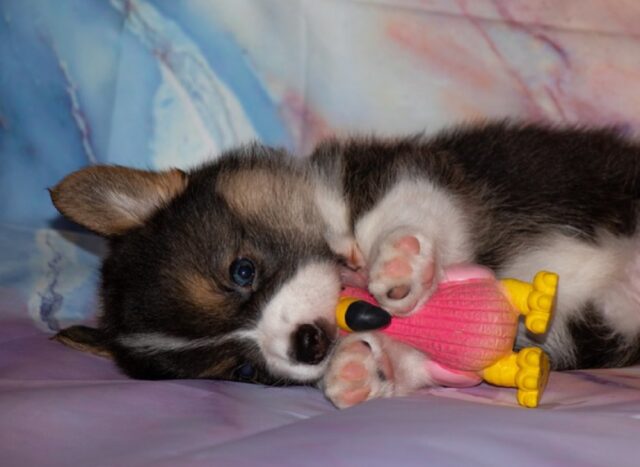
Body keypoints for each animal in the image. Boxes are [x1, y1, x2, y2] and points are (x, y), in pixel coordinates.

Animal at [50, 122, 640, 408]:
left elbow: (402, 210)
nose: (307, 344)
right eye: (243, 371)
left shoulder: (422, 174)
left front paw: (399, 263)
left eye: (243, 271)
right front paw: (359, 369)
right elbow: (413, 360)